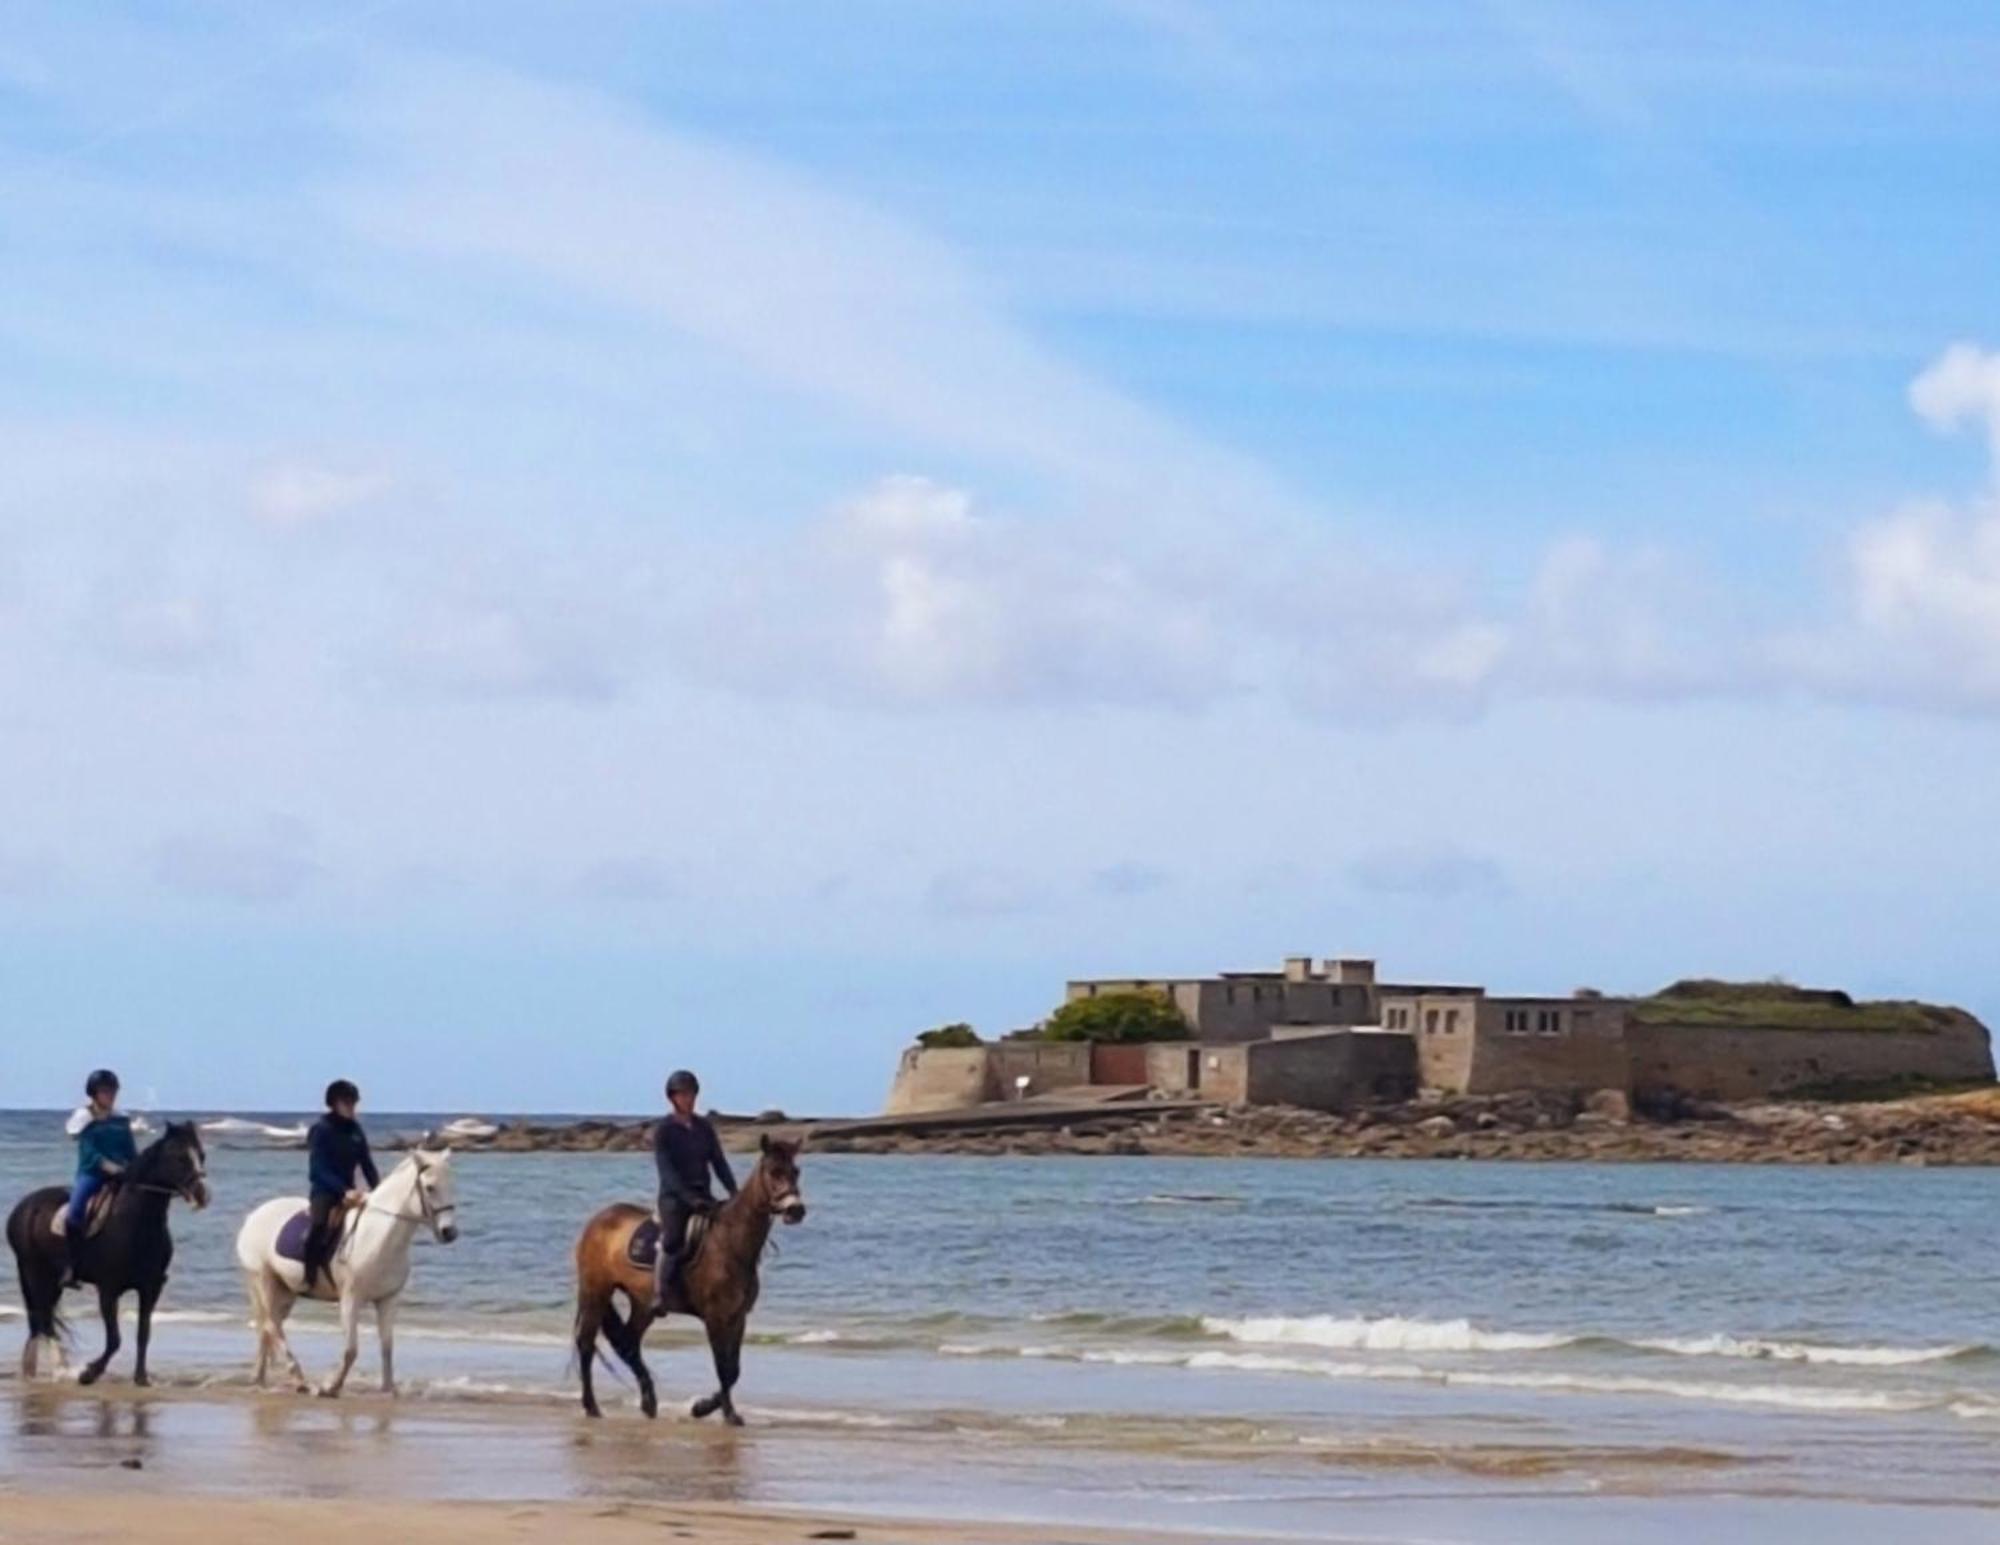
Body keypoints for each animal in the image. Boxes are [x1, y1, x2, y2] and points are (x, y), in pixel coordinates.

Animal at [5, 1120, 211, 1384]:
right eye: (178, 1157)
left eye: (201, 1156)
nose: (202, 1194)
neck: (136, 1223)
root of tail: (25, 1206)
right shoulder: (108, 1290)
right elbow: (114, 1340)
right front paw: (89, 1373)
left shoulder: (150, 1288)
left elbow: (143, 1334)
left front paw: (141, 1378)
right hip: (35, 1273)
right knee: (43, 1319)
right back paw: (60, 1370)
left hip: (49, 1280)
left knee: (41, 1320)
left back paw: (36, 1371)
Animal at [232, 1136, 458, 1392]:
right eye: (430, 1187)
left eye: (452, 1185)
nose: (449, 1232)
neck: (378, 1237)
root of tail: (253, 1217)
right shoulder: (351, 1299)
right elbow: (351, 1350)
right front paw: (330, 1387)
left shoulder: (388, 1299)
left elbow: (387, 1346)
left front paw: (389, 1389)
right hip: (263, 1280)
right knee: (271, 1325)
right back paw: (299, 1379)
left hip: (285, 1290)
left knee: (269, 1328)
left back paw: (260, 1378)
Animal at [572, 1136, 804, 1424]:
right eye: (774, 1172)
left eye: (796, 1171)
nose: (796, 1210)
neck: (730, 1243)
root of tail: (598, 1220)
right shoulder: (715, 1317)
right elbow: (723, 1367)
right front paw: (722, 1413)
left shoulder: (738, 1317)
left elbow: (734, 1369)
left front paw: (704, 1407)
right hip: (595, 1292)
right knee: (587, 1345)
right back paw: (592, 1407)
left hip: (642, 1303)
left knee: (629, 1344)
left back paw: (649, 1402)